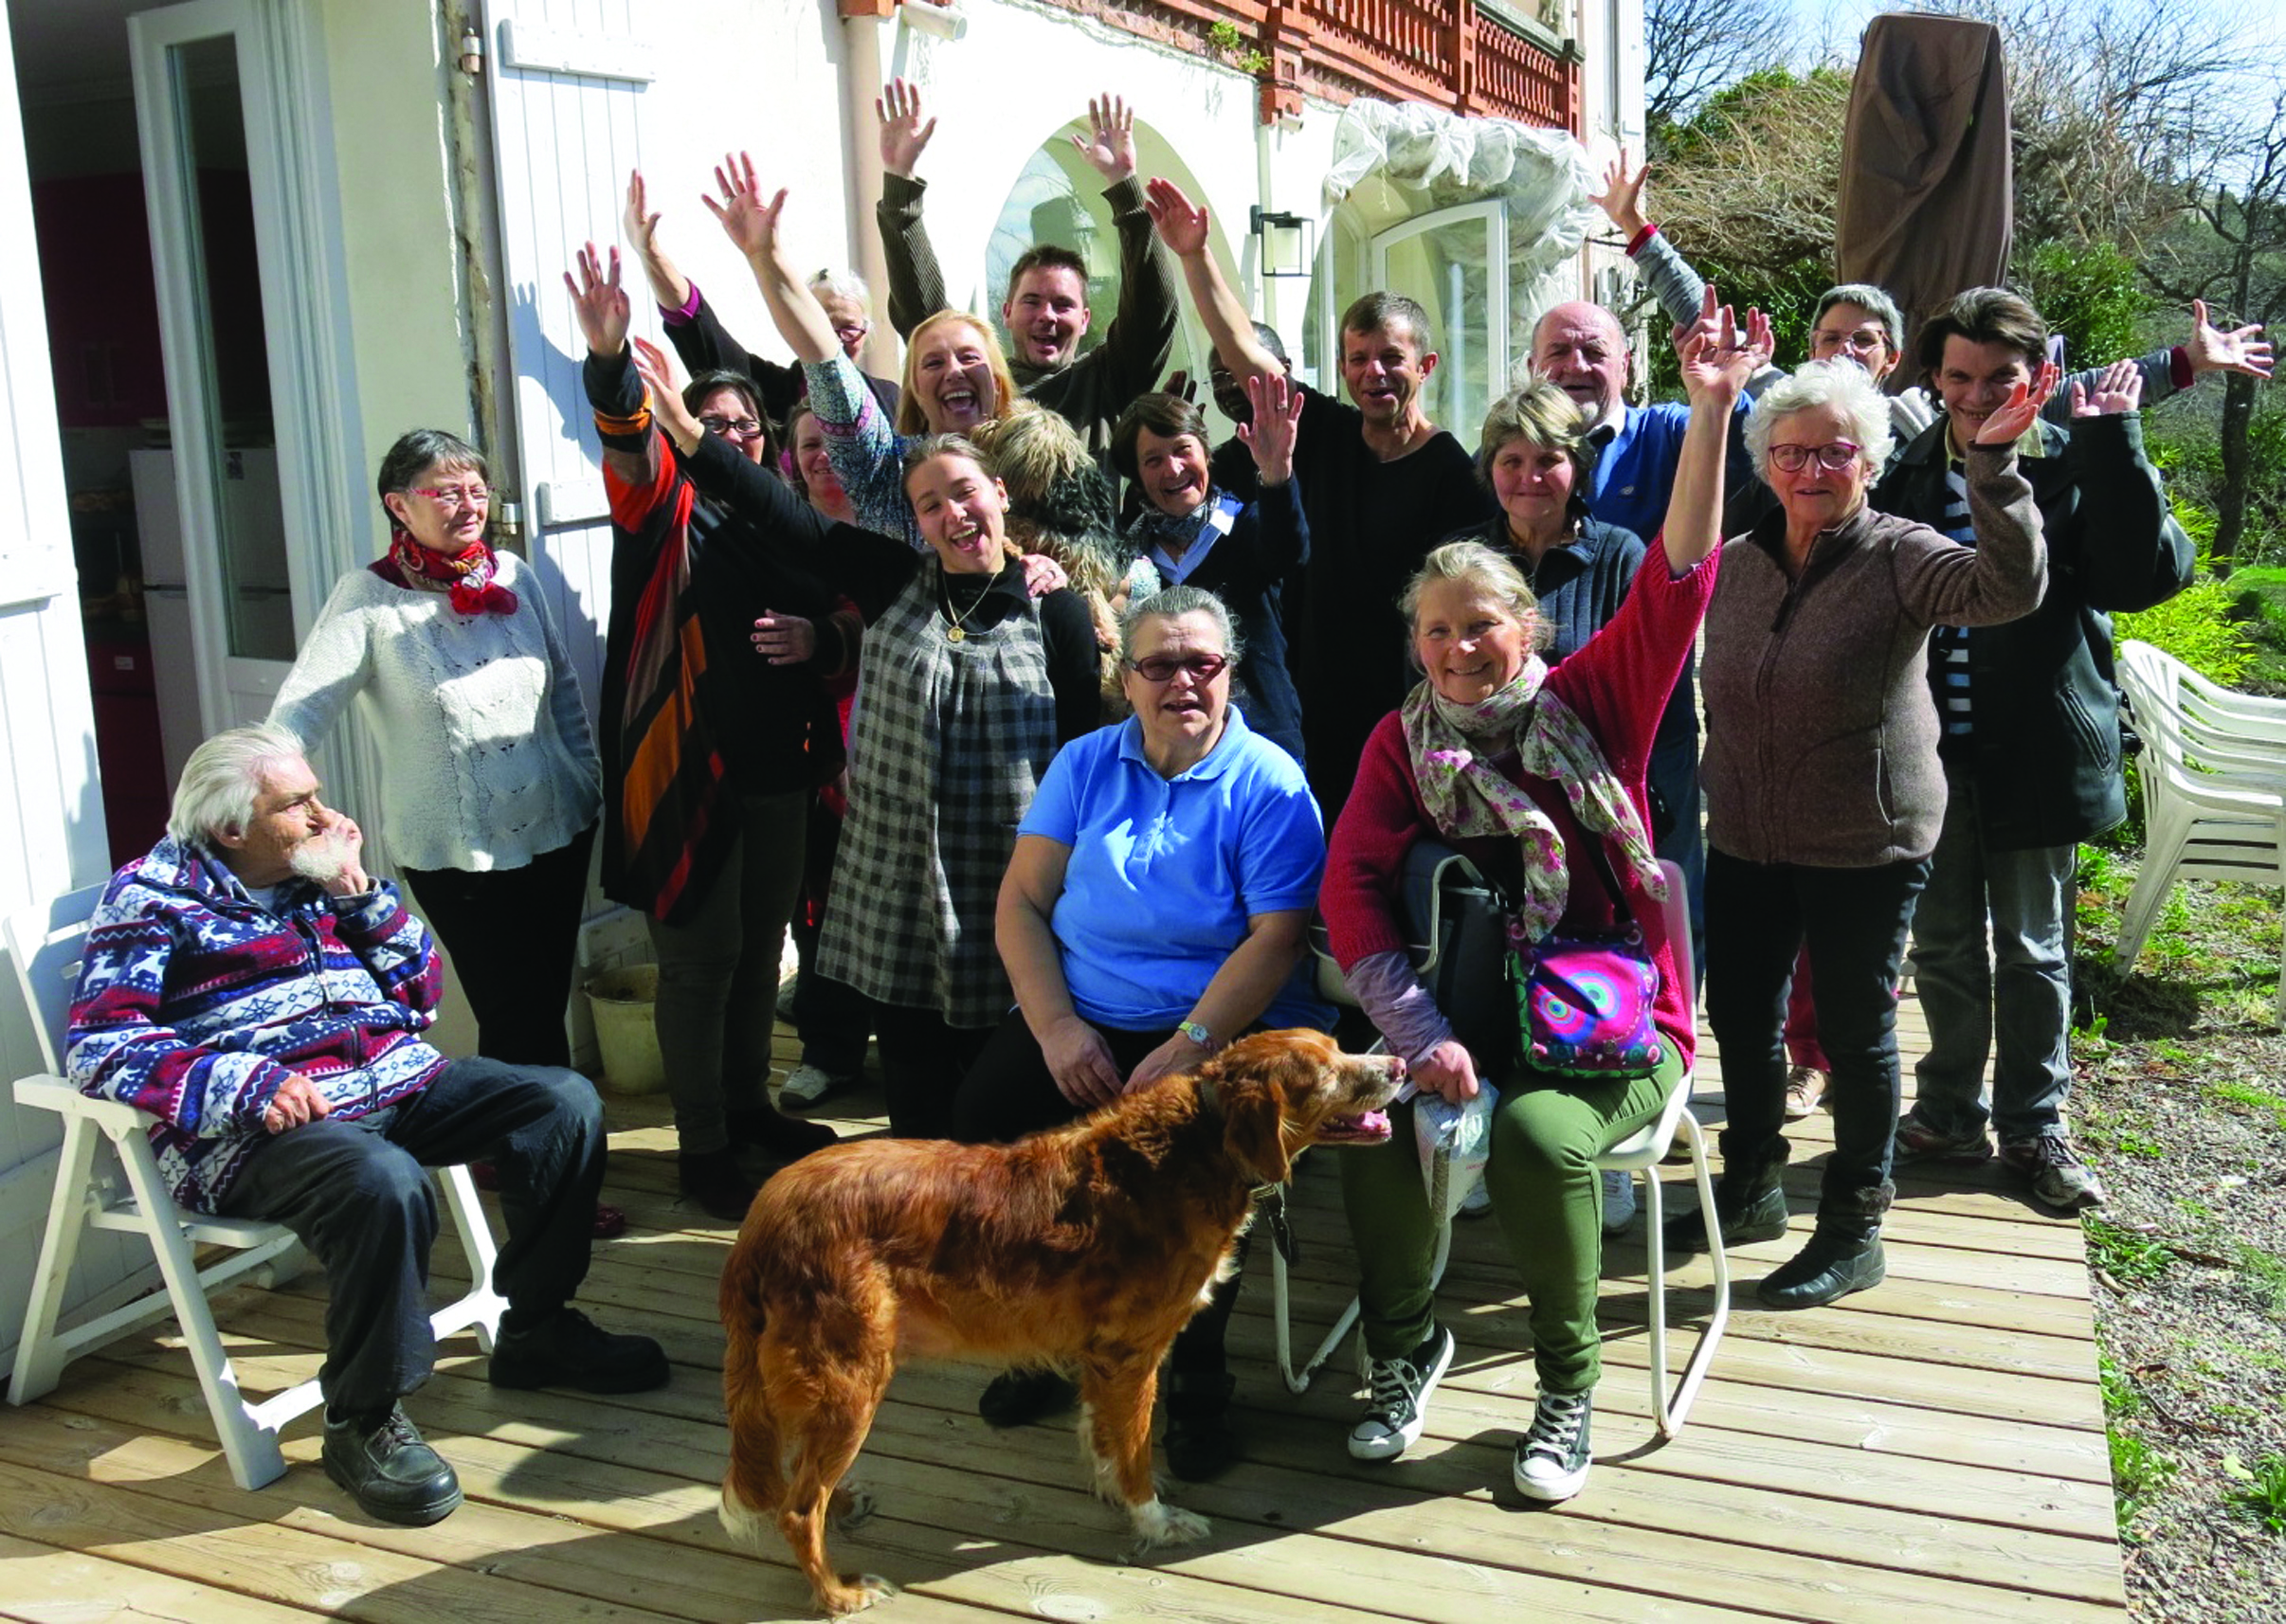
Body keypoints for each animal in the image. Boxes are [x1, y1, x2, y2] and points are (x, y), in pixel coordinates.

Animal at [713, 1027, 1399, 1616]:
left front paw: (1110, 1488)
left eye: (1339, 1046)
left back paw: (845, 1504)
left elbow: (1103, 1438)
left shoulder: (1101, 1357)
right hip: (850, 1379)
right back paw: (839, 1593)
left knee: (798, 1481)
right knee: (797, 1509)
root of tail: (763, 1217)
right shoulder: (1132, 1355)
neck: (1199, 1143)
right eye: (1325, 1072)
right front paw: (1154, 1521)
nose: (1396, 1064)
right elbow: (1135, 1453)